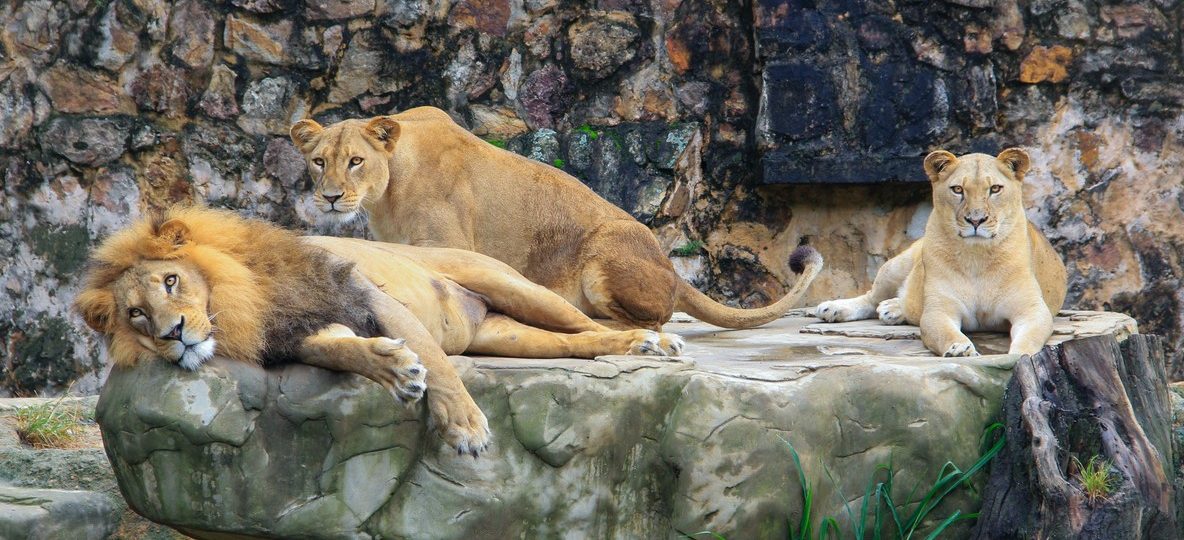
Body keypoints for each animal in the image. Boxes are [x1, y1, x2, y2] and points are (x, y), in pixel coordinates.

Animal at [74, 207, 685, 456]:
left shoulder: (368, 296)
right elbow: (347, 353)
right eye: (136, 315)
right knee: (577, 341)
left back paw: (651, 340)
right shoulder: (304, 333)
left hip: (512, 285)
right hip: (507, 335)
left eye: (171, 280)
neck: (242, 301)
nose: (173, 333)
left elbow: (438, 366)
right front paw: (392, 368)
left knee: (587, 321)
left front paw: (465, 427)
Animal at [288, 107, 823, 331]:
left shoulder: (447, 244)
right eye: (319, 162)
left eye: (356, 161)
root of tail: (672, 269)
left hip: (604, 255)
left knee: (655, 321)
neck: (387, 190)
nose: (330, 198)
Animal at [814, 148, 1067, 356]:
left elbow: (1030, 339)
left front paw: (1017, 356)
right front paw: (960, 349)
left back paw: (892, 309)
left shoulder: (1032, 309)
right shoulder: (939, 310)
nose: (976, 220)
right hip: (894, 267)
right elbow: (945, 332)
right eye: (958, 189)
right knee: (869, 297)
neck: (976, 257)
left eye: (995, 189)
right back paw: (833, 309)